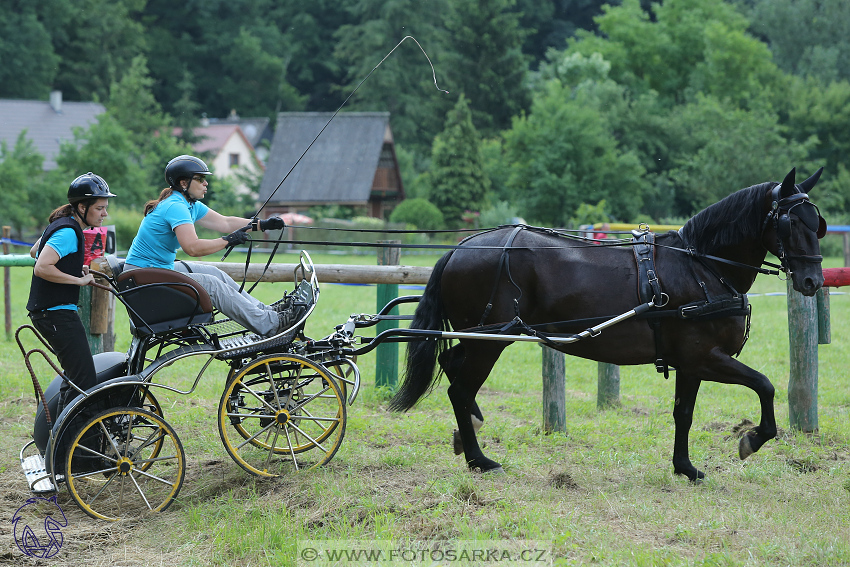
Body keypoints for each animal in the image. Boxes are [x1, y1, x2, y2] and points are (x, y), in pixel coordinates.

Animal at [390, 168, 820, 480]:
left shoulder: (690, 364)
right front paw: (753, 439)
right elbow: (764, 385)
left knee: (451, 366)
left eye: (817, 222)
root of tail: (460, 248)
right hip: (490, 341)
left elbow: (683, 413)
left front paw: (685, 467)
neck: (702, 267)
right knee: (460, 390)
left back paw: (469, 435)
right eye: (790, 223)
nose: (812, 281)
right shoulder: (706, 357)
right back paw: (480, 460)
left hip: (481, 337)